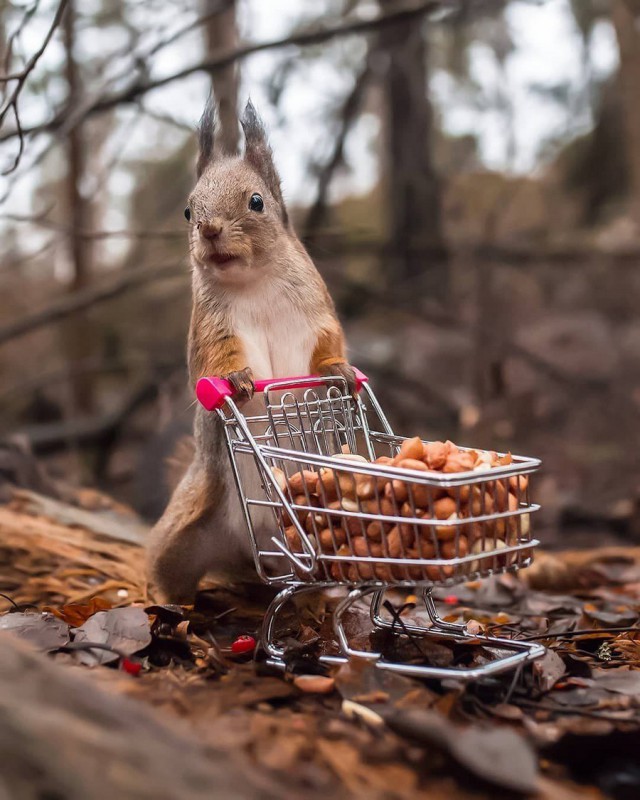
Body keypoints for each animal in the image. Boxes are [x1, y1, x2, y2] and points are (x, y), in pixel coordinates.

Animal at [146, 100, 356, 600]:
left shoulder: (317, 313)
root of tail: (255, 546)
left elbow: (329, 344)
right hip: (183, 535)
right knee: (171, 573)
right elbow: (217, 359)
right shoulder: (212, 327)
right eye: (188, 211)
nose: (209, 229)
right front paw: (237, 379)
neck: (254, 280)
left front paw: (339, 369)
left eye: (256, 201)